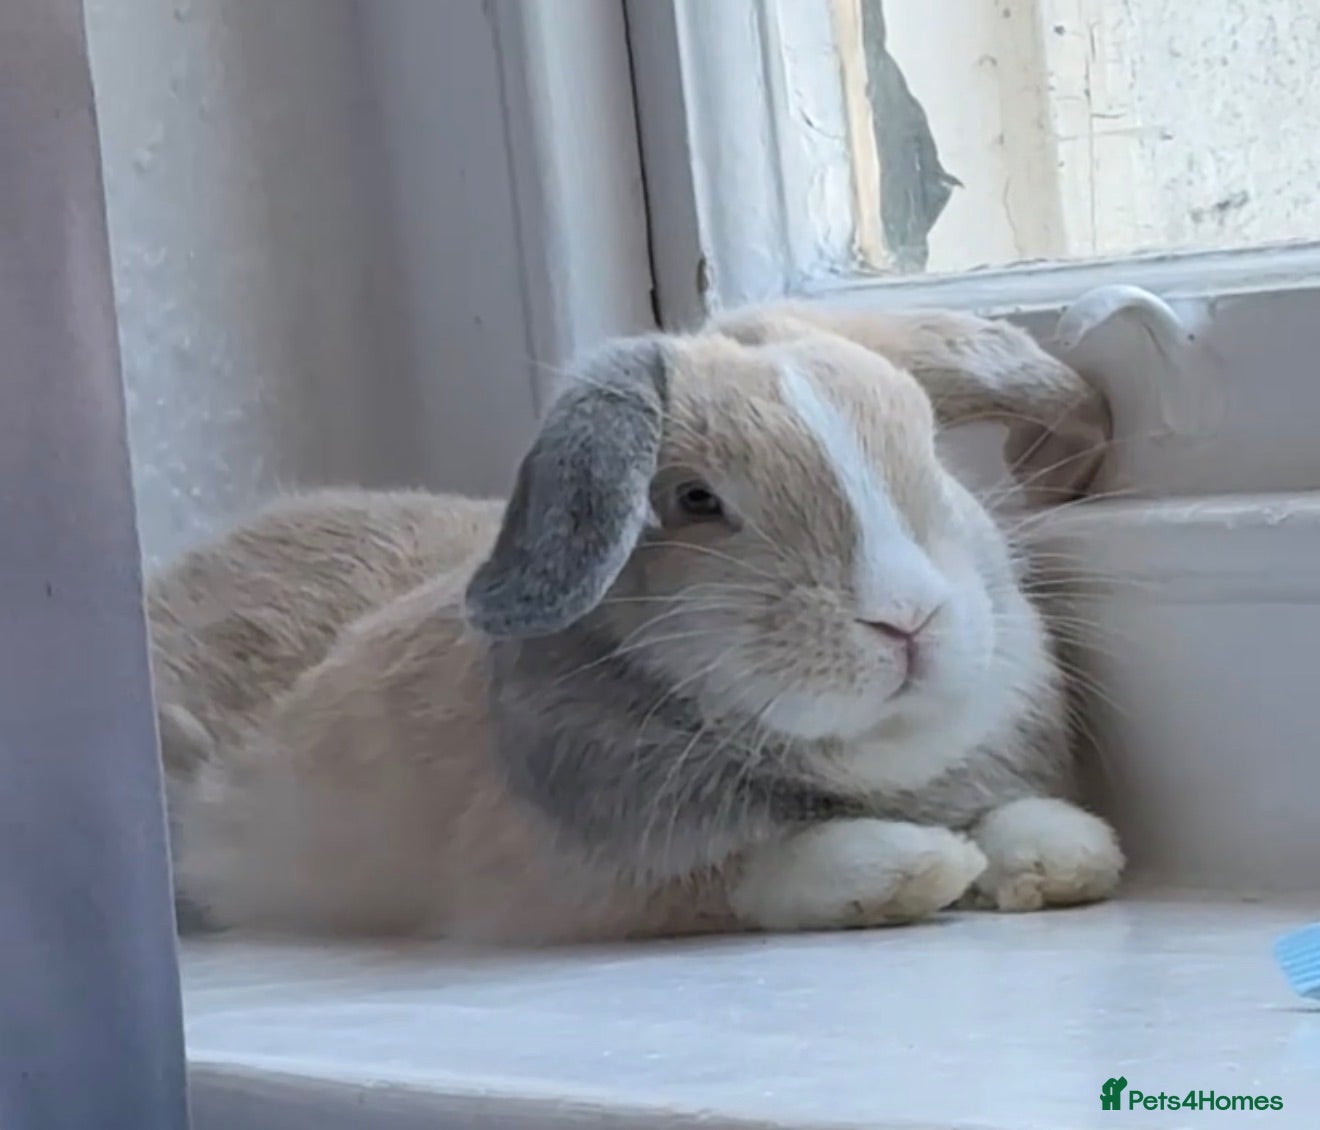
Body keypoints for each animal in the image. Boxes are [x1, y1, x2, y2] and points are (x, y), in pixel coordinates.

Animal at [153, 303, 1123, 943]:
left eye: (930, 453)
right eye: (696, 501)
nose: (906, 618)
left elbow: (1019, 813)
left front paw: (1066, 857)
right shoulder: (606, 879)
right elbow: (764, 866)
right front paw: (916, 868)